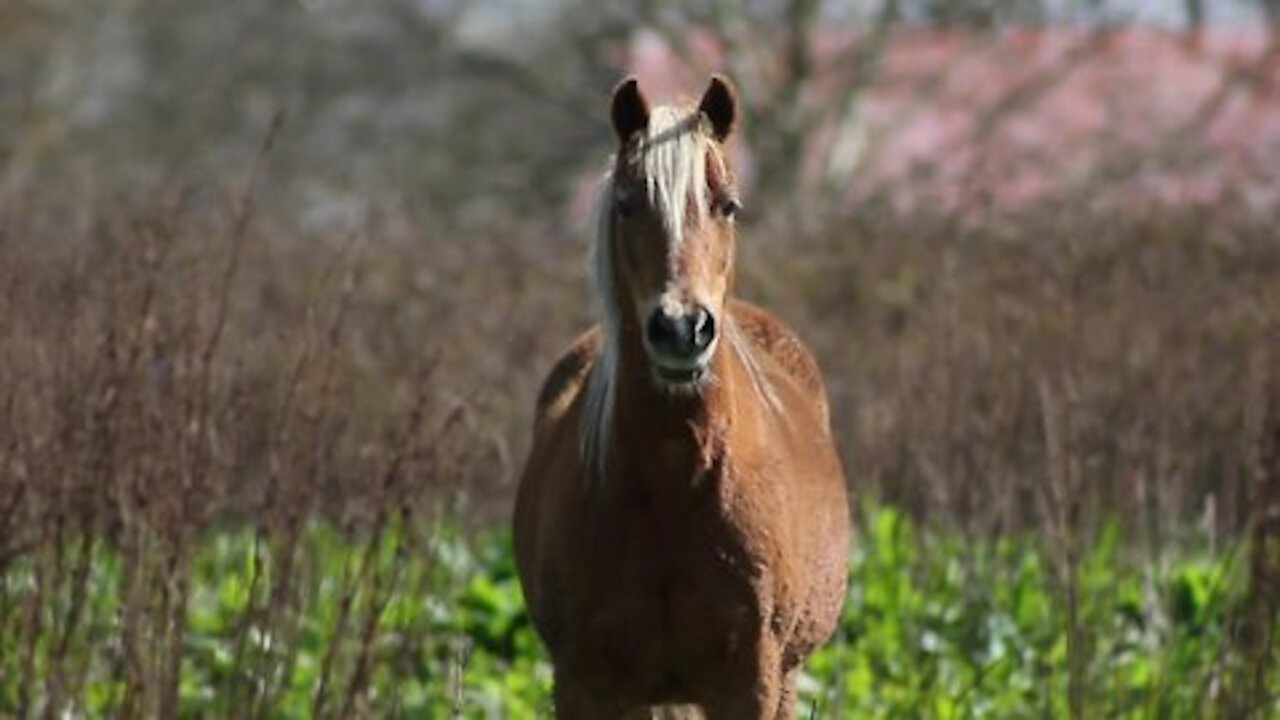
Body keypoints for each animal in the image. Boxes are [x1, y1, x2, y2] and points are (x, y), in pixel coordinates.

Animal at [509, 75, 849, 712]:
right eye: (626, 204)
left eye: (728, 205)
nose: (682, 329)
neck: (675, 479)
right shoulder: (584, 680)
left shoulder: (752, 679)